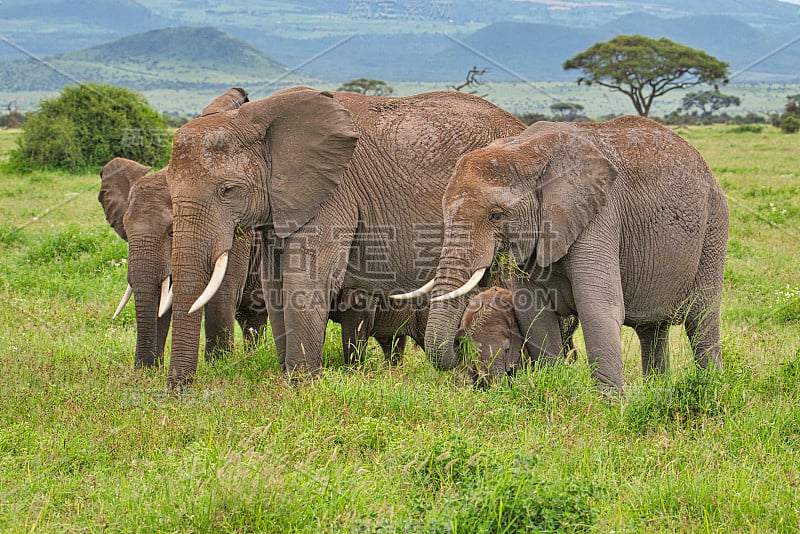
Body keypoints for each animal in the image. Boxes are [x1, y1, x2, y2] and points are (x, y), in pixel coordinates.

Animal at [163, 86, 524, 388]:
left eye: (228, 190)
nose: (179, 391)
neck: (257, 117)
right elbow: (275, 284)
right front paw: (288, 380)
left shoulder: (333, 195)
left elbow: (306, 280)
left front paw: (301, 386)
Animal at [416, 117, 728, 394]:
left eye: (496, 215)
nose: (460, 339)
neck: (526, 151)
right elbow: (534, 314)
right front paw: (554, 387)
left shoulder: (600, 215)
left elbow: (598, 307)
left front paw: (609, 408)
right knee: (652, 329)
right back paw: (657, 391)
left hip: (713, 228)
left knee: (702, 319)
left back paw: (711, 388)